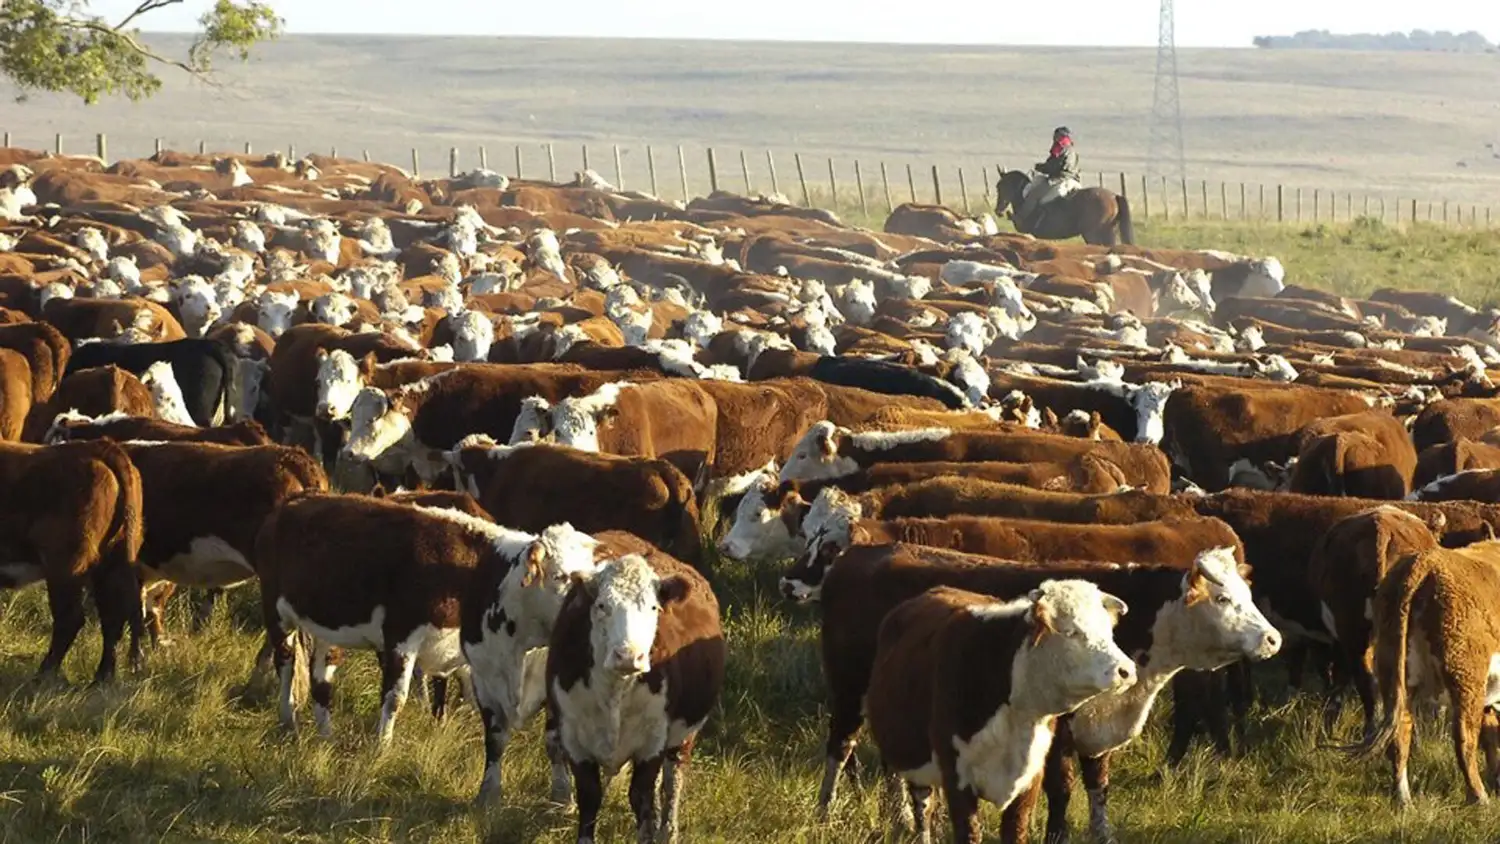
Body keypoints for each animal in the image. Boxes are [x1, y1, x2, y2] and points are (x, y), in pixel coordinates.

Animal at [546, 551, 727, 844]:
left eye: (653, 608)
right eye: (602, 606)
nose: (629, 656)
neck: (614, 692)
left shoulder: (652, 742)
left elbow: (642, 798)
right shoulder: (573, 738)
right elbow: (590, 797)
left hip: (683, 736)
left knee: (672, 782)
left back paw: (668, 831)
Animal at [863, 580, 1137, 844]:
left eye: (1108, 631)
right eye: (1071, 632)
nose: (1126, 670)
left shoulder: (1030, 778)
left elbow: (1016, 831)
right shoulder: (957, 777)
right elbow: (969, 833)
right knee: (924, 810)